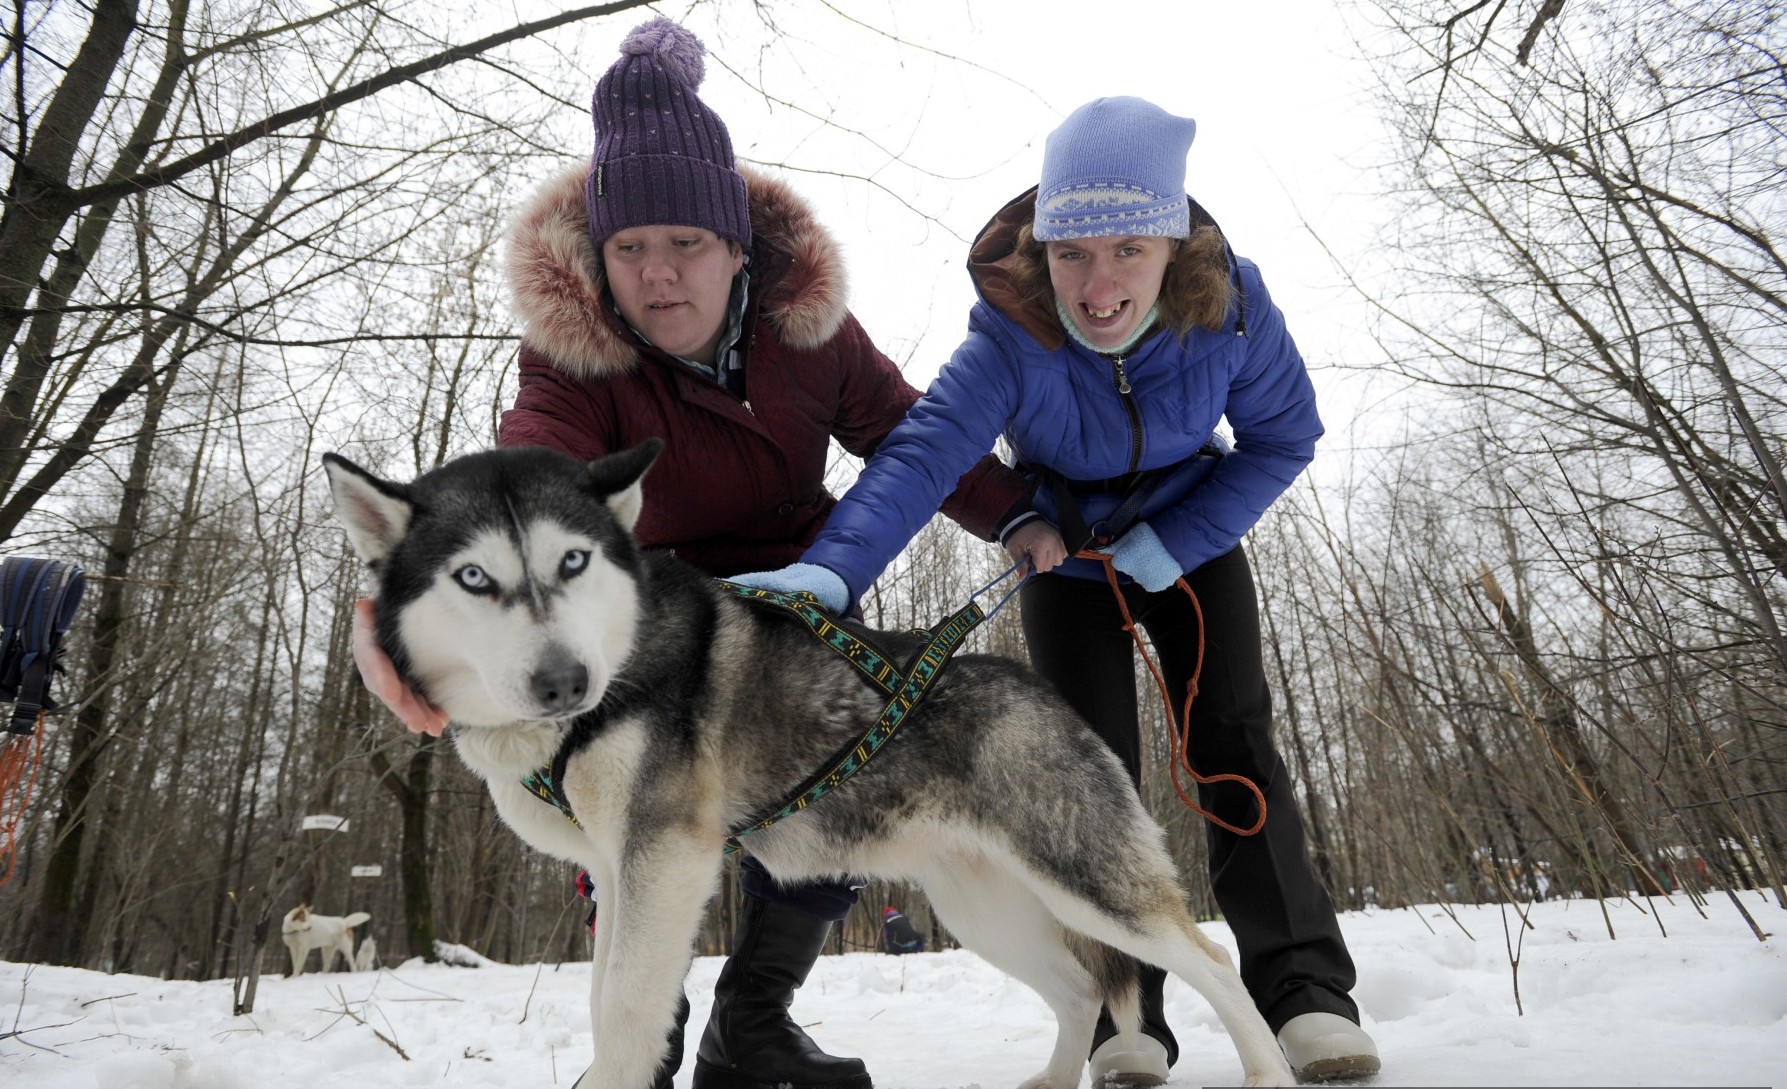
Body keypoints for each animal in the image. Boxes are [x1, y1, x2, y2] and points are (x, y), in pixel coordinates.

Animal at [325, 441, 1300, 1087]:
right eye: (473, 577)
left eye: (572, 559)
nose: (564, 680)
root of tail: (1031, 682)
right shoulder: (615, 871)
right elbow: (612, 996)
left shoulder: (663, 857)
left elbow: (624, 1007)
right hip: (984, 905)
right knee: (1079, 988)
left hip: (1082, 878)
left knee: (1205, 960)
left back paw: (1269, 1069)